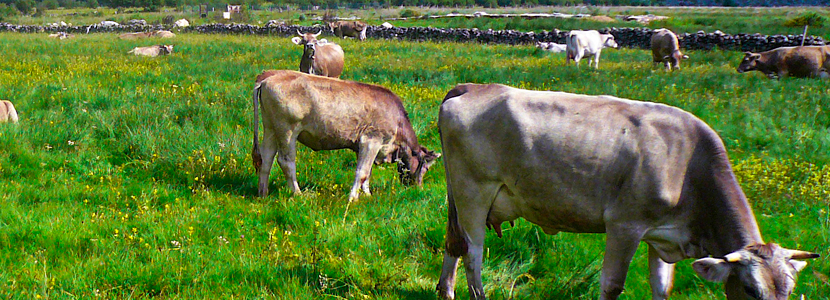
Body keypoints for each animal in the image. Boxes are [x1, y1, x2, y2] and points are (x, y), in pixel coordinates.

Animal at [252, 70, 442, 200]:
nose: (418, 189)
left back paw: (263, 193)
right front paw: (353, 198)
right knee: (286, 161)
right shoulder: (371, 141)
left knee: (266, 159)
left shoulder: (363, 147)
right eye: (426, 168)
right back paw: (298, 194)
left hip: (270, 128)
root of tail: (269, 76)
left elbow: (368, 173)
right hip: (287, 130)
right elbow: (362, 172)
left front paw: (367, 195)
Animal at [438, 82, 824, 300]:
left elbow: (662, 288)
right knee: (473, 254)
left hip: (458, 196)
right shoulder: (625, 224)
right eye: (750, 290)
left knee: (453, 245)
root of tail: (472, 86)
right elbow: (611, 285)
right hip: (474, 191)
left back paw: (446, 292)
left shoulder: (663, 236)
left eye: (790, 290)